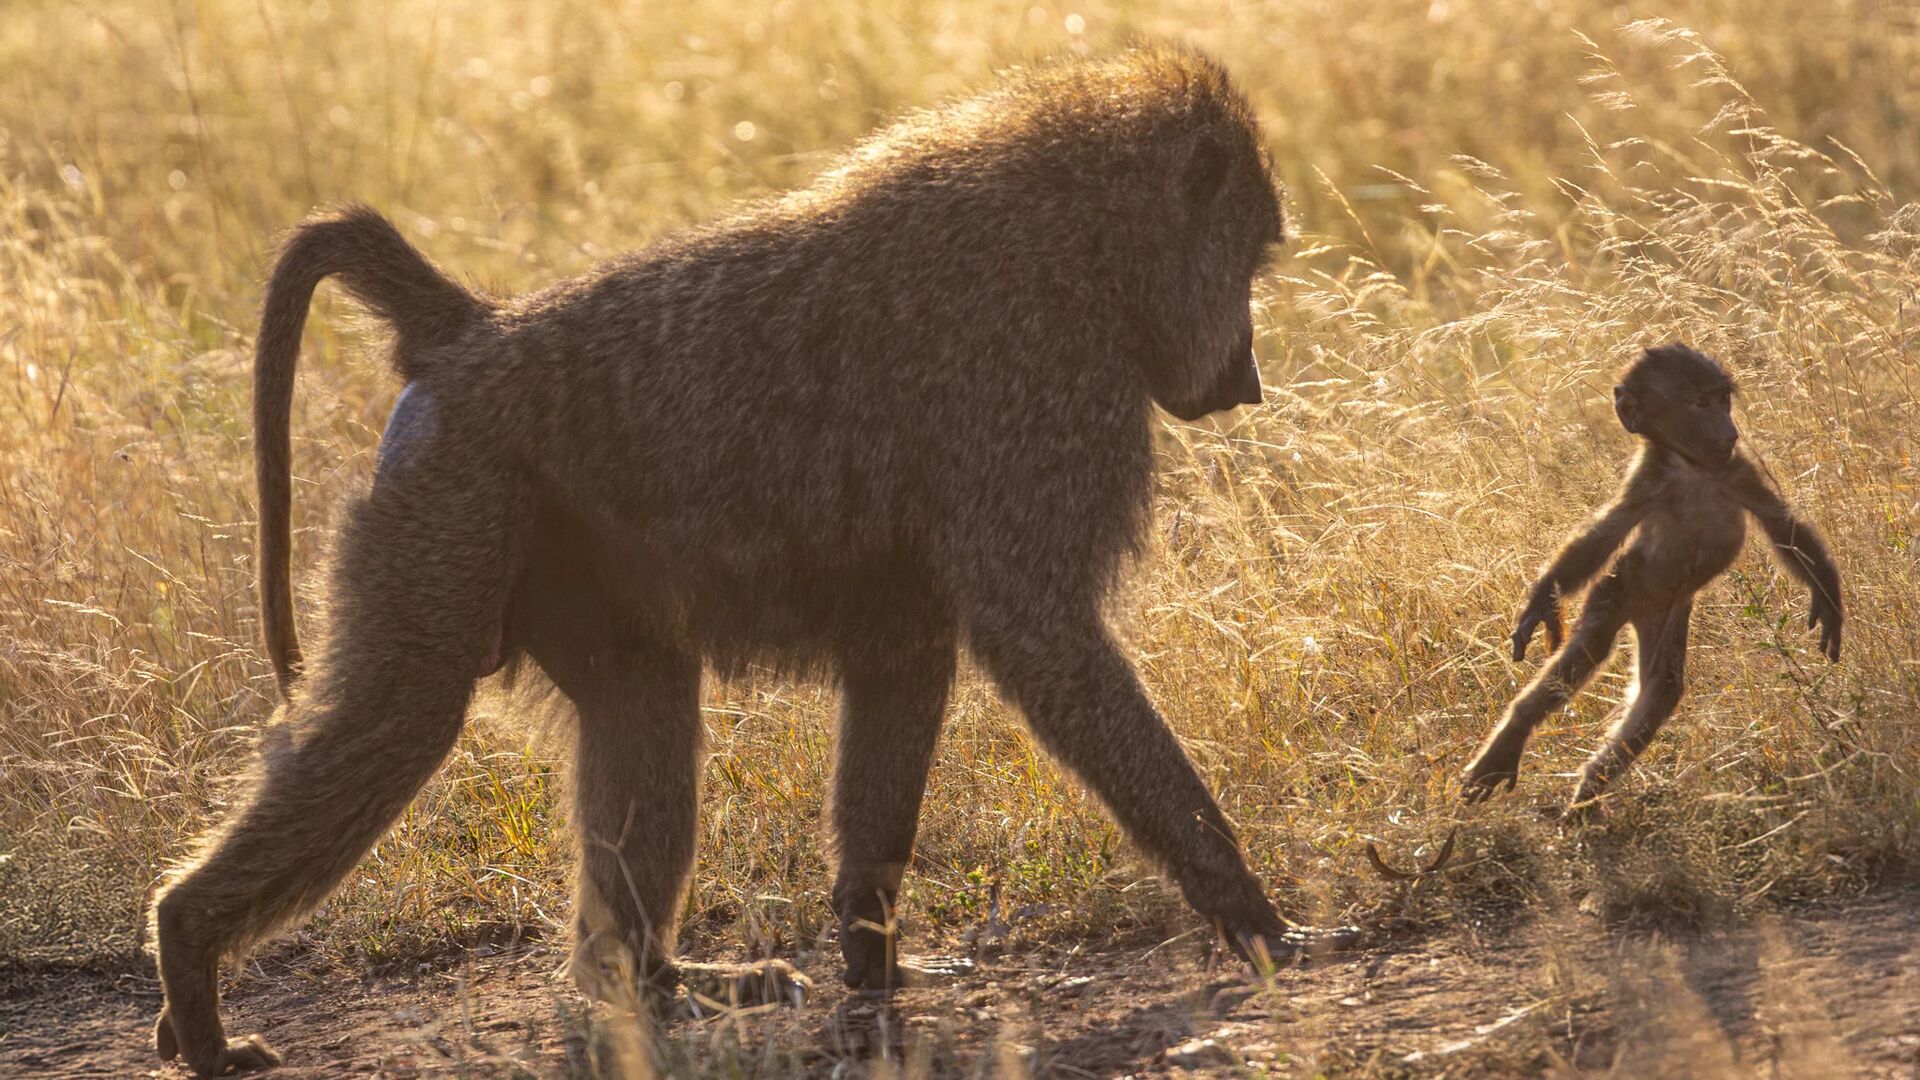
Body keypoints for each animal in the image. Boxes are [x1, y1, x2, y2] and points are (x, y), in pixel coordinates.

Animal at [150, 48, 1308, 1076]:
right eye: (1250, 260)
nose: (1248, 379)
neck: (1083, 246)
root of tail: (472, 333)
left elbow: (905, 674)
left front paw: (873, 958)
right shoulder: (1042, 390)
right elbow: (1041, 636)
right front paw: (1257, 921)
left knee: (643, 703)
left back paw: (656, 982)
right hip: (452, 498)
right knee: (406, 713)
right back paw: (193, 962)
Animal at [1460, 343, 1843, 814]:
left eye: (1723, 399)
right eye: (1700, 404)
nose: (1730, 431)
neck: (1689, 467)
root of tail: (1641, 609)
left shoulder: (1738, 468)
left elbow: (1781, 524)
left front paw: (1828, 599)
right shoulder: (1648, 481)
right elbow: (1604, 534)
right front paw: (1539, 606)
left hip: (1667, 612)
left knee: (1661, 688)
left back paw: (1587, 794)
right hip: (1618, 587)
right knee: (1590, 649)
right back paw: (1511, 747)